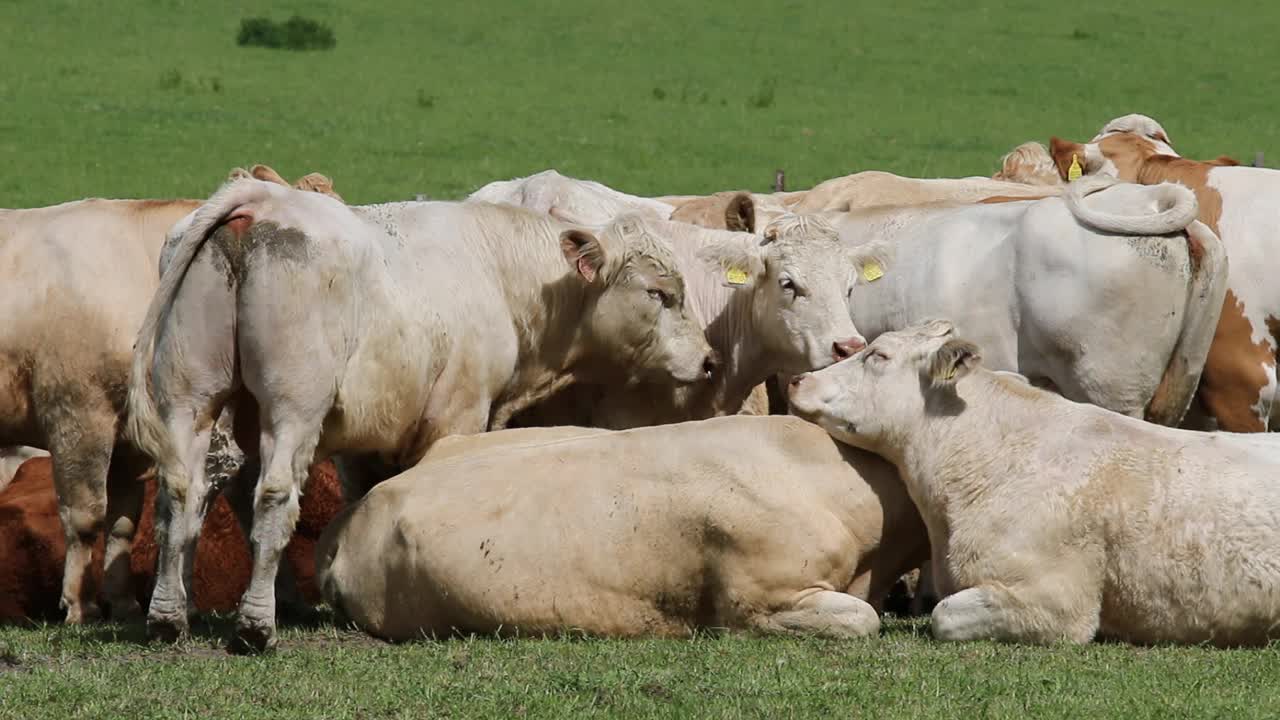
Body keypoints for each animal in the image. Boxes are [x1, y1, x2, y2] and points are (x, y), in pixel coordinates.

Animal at [129, 178, 721, 650]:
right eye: (660, 293)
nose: (710, 360)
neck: (496, 271)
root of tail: (262, 199)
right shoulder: (458, 413)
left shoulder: (366, 437)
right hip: (291, 407)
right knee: (272, 495)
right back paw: (256, 625)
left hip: (191, 399)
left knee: (183, 492)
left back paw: (170, 616)